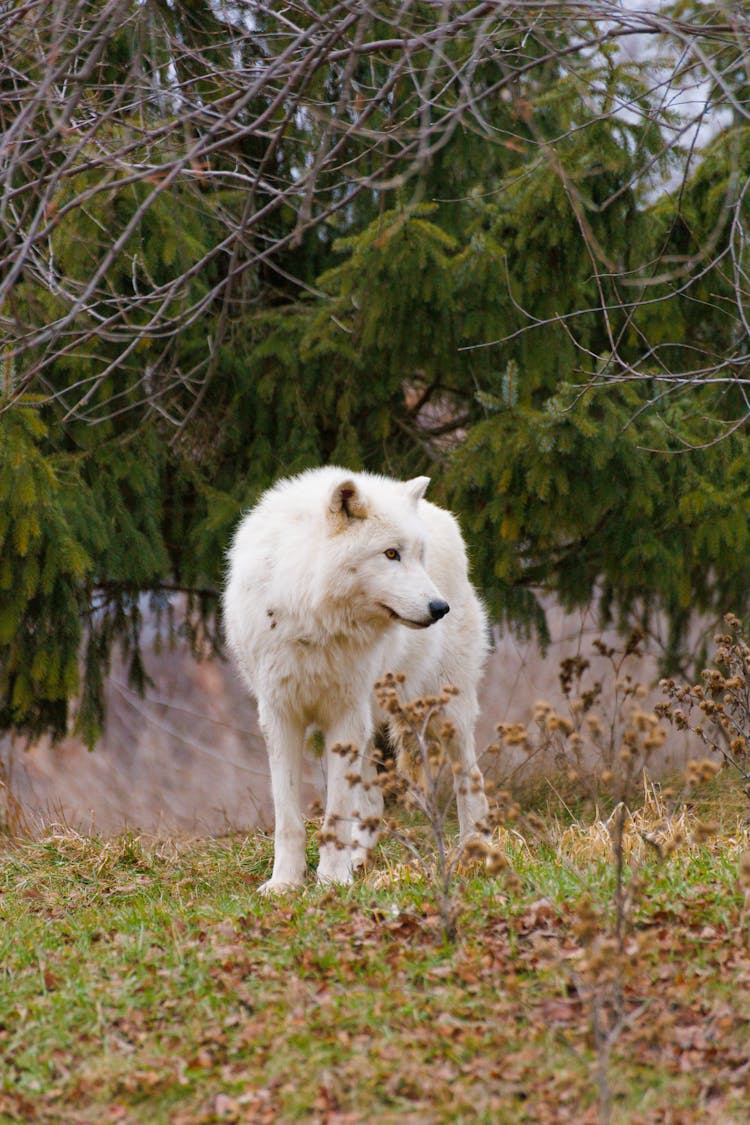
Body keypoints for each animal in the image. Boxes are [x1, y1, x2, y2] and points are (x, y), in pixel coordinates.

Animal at [222, 463, 490, 886]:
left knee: (472, 777)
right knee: (374, 801)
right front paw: (285, 883)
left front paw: (332, 880)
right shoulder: (280, 716)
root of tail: (443, 515)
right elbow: (288, 817)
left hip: (445, 711)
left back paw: (477, 853)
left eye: (420, 556)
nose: (439, 608)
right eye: (391, 554)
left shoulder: (345, 716)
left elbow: (336, 811)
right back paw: (360, 858)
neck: (312, 619)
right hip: (372, 722)